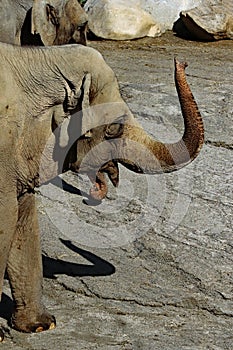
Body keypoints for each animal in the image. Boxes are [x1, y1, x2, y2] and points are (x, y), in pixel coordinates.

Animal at [0, 42, 204, 338]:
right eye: (114, 128)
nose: (181, 62)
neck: (33, 58)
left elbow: (24, 218)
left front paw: (42, 325)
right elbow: (5, 219)